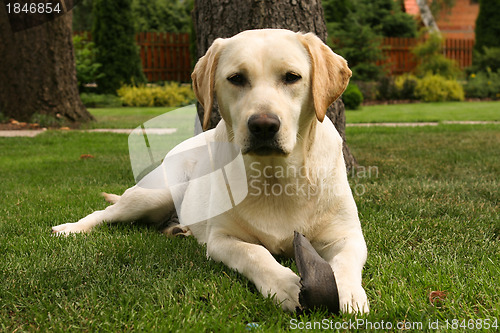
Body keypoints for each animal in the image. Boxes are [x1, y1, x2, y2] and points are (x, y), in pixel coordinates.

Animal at [52, 27, 370, 312]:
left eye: (292, 77)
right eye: (236, 78)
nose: (263, 125)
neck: (274, 177)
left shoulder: (348, 236)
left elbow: (345, 262)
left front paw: (349, 294)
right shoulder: (222, 239)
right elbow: (256, 253)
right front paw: (285, 286)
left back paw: (178, 229)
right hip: (153, 194)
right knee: (103, 213)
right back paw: (70, 228)